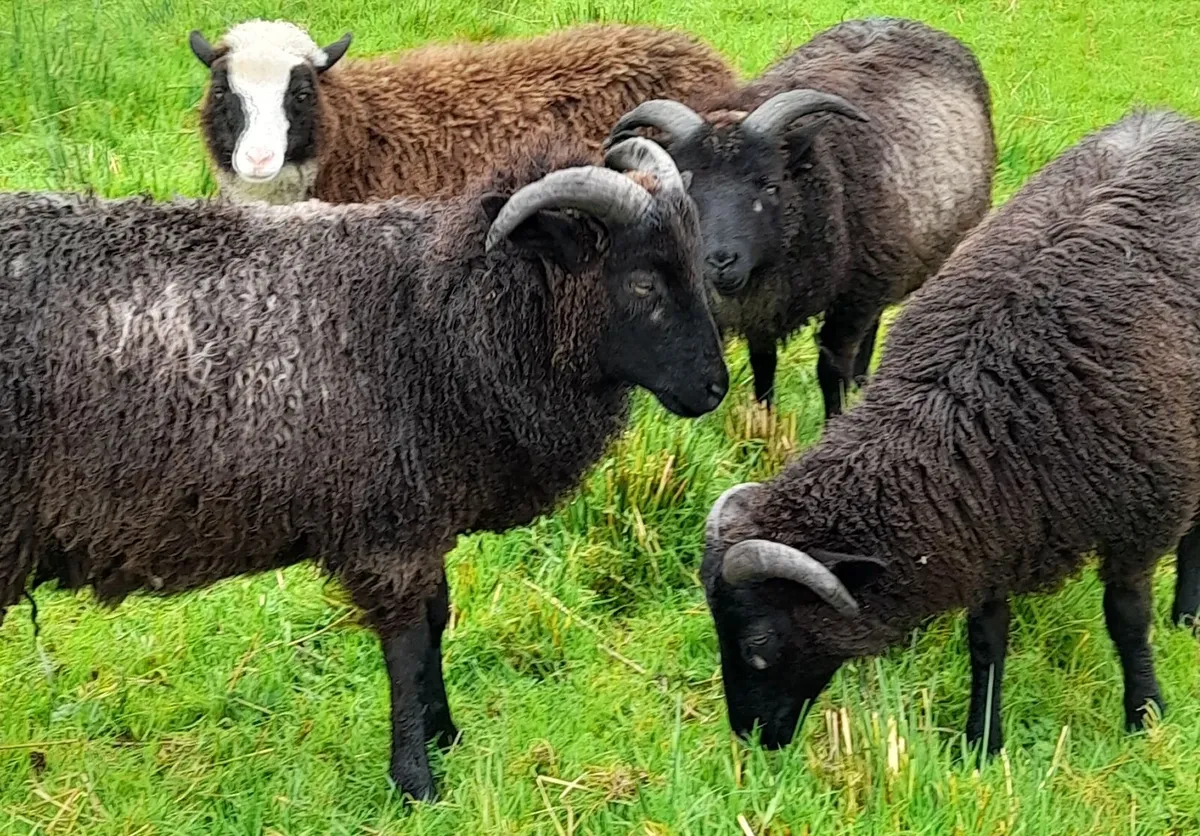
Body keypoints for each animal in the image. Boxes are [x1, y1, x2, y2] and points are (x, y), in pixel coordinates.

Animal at [0, 137, 729, 801]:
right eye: (642, 281)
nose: (715, 387)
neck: (436, 318)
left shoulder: (421, 516)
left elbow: (435, 623)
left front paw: (446, 737)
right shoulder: (390, 528)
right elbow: (406, 647)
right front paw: (417, 781)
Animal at [606, 17, 995, 415]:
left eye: (770, 184)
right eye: (686, 184)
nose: (719, 261)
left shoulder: (855, 296)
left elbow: (832, 369)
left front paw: (835, 419)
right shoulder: (761, 309)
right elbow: (762, 364)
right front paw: (764, 420)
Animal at [700, 109, 1200, 757]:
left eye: (758, 642)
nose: (752, 736)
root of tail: (1168, 120)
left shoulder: (1143, 518)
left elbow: (1128, 618)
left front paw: (1145, 714)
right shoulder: (986, 527)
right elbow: (986, 637)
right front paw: (982, 740)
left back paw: (1188, 615)